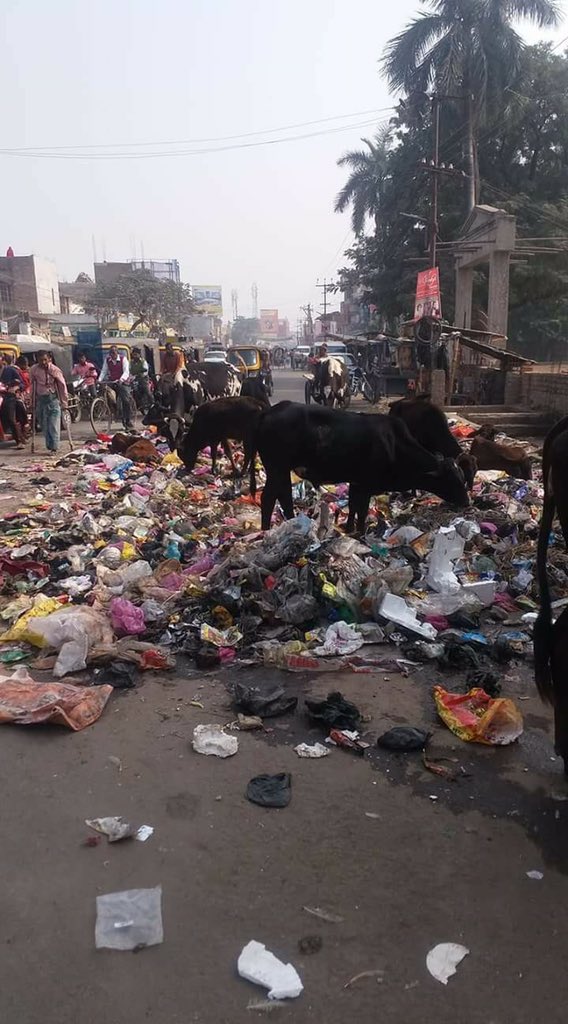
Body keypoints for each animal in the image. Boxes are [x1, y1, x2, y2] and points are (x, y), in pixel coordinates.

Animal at [253, 402, 470, 533]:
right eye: (452, 480)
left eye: (462, 476)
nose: (467, 502)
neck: (394, 445)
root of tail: (268, 412)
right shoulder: (366, 484)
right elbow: (362, 510)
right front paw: (360, 532)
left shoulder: (356, 483)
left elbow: (353, 507)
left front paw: (349, 529)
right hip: (277, 468)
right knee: (269, 498)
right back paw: (266, 530)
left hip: (280, 471)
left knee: (283, 497)